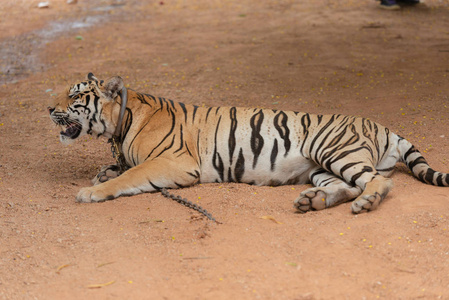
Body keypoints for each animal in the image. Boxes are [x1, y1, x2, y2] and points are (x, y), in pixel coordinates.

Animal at [48, 72, 448, 213]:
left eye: (75, 96)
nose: (49, 107)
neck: (121, 122)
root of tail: (382, 126)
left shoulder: (175, 162)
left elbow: (129, 176)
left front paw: (91, 191)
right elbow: (118, 168)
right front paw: (103, 173)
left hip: (334, 150)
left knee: (379, 182)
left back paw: (365, 203)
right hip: (320, 168)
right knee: (348, 186)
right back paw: (313, 201)